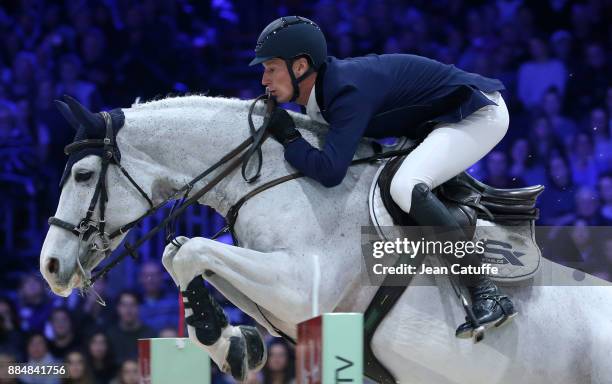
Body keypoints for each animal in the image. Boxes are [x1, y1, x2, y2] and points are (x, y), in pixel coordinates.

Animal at [39, 96, 612, 384]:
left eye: (83, 175)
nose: (49, 267)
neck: (277, 175)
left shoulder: (300, 286)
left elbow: (187, 250)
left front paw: (229, 344)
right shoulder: (275, 291)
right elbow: (179, 252)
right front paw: (236, 346)